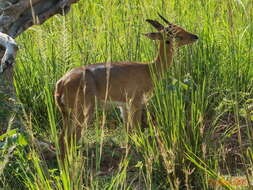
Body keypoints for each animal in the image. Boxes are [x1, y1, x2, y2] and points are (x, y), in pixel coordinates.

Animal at [54, 14, 198, 155]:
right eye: (174, 34)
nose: (195, 36)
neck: (149, 69)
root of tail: (61, 82)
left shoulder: (124, 106)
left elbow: (128, 132)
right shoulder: (136, 103)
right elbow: (137, 130)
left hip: (68, 115)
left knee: (62, 139)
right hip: (84, 113)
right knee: (70, 139)